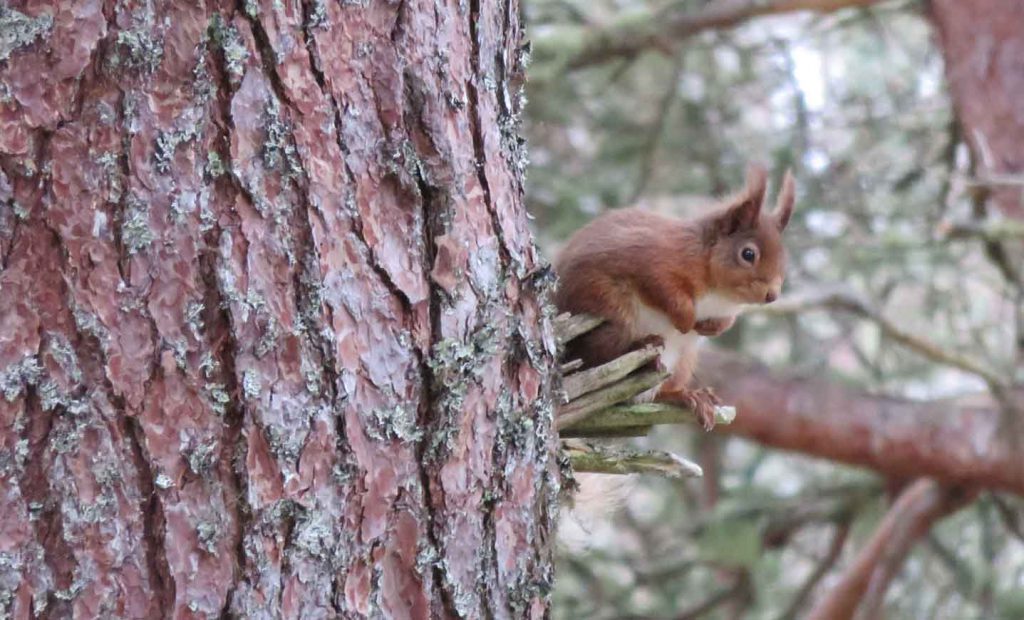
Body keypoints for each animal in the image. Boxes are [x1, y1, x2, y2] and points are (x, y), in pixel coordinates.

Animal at [554, 164, 796, 430]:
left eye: (784, 258)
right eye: (748, 254)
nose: (772, 295)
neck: (719, 295)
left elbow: (726, 321)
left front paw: (712, 327)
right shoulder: (654, 261)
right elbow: (665, 290)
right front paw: (686, 320)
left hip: (684, 359)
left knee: (657, 392)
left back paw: (687, 396)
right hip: (608, 308)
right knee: (598, 357)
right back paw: (643, 349)